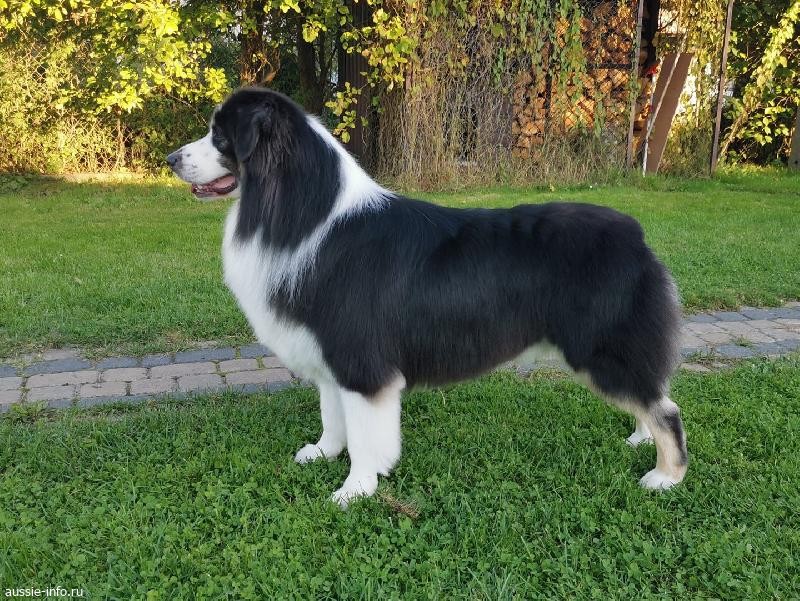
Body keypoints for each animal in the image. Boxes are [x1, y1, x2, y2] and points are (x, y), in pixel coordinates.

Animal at [167, 88, 688, 507]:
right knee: (651, 396)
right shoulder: (330, 352)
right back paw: (640, 441)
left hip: (601, 348)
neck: (301, 212)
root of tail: (636, 236)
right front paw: (321, 453)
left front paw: (354, 490)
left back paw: (665, 476)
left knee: (666, 408)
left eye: (221, 136)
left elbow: (363, 435)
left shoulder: (361, 361)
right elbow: (332, 415)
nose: (171, 159)